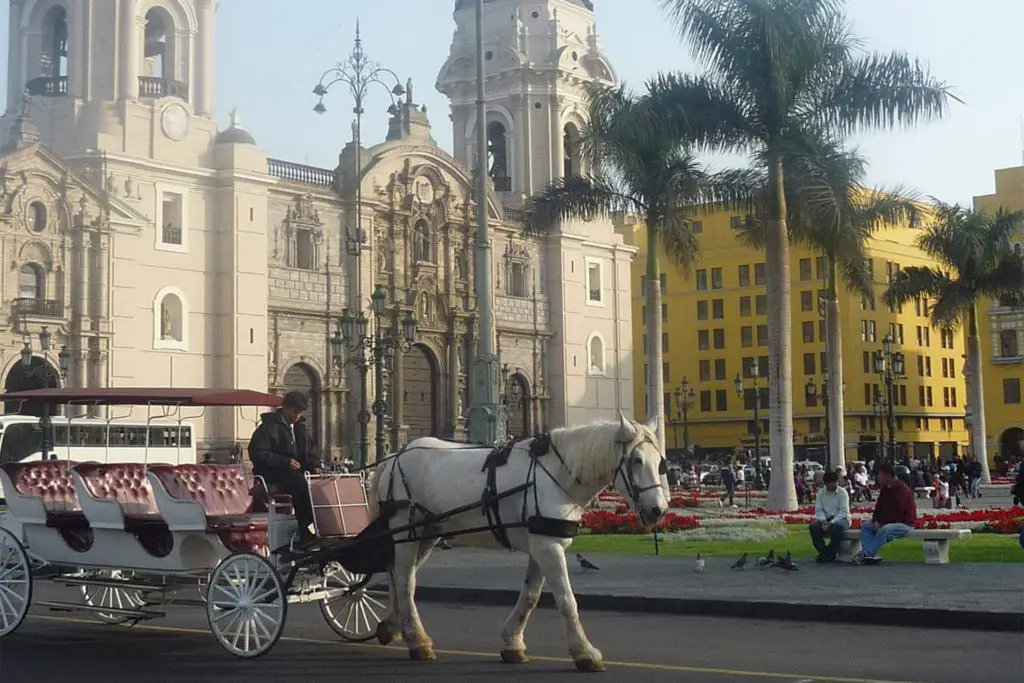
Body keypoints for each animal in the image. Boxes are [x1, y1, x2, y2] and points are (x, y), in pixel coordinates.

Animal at [364, 411, 667, 671]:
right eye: (636, 461)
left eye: (660, 462)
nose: (659, 510)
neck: (556, 474)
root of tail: (392, 457)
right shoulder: (549, 547)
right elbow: (567, 600)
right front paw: (585, 652)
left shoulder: (542, 543)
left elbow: (531, 596)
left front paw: (513, 643)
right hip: (404, 528)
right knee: (405, 580)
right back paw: (418, 641)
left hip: (427, 532)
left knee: (397, 574)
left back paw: (393, 627)